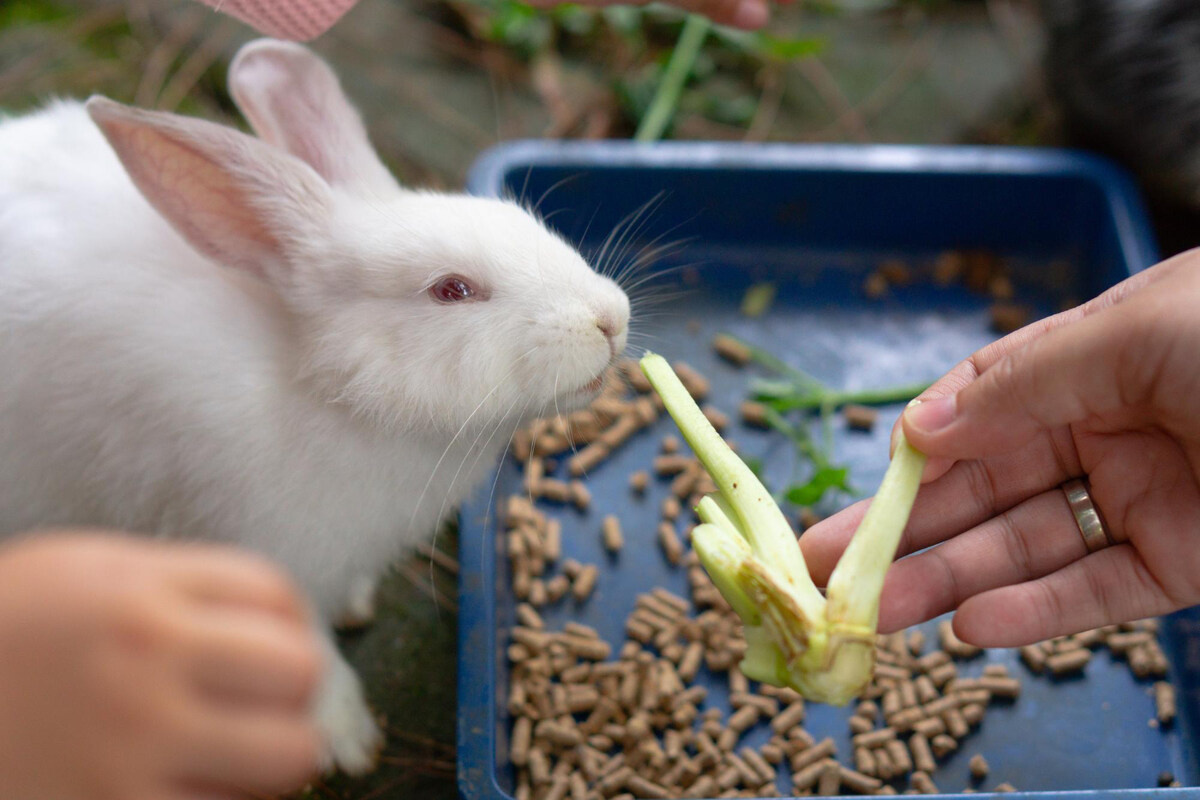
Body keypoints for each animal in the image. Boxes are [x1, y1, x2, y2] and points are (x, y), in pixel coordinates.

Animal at [0, 37, 633, 777]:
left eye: (523, 220)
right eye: (452, 290)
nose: (611, 320)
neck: (325, 388)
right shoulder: (269, 552)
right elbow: (306, 645)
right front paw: (346, 738)